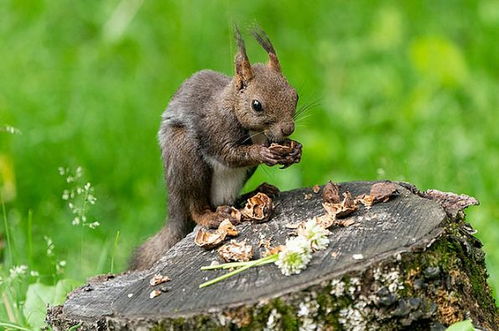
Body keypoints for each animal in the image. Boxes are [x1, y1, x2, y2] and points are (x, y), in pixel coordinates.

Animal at [130, 27, 300, 272]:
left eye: (295, 95)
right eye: (256, 105)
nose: (288, 128)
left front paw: (295, 150)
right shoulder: (216, 129)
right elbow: (228, 154)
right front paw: (262, 153)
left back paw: (255, 193)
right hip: (186, 158)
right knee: (196, 207)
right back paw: (210, 216)